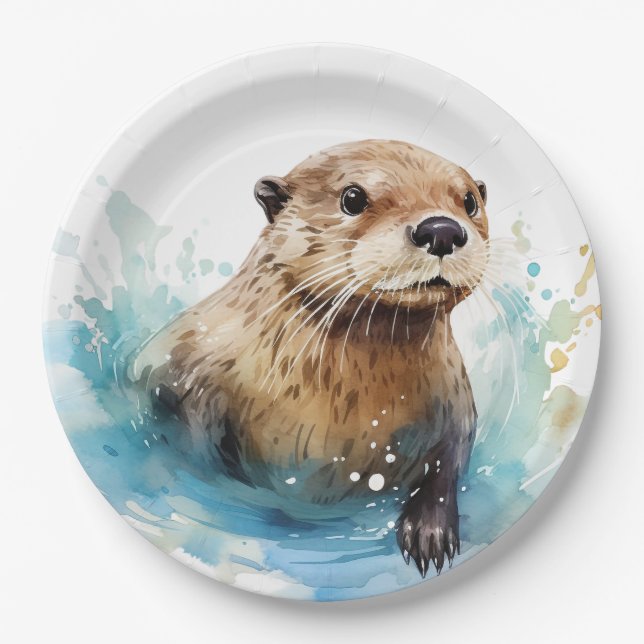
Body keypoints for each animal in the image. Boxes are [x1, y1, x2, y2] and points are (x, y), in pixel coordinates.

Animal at [133, 140, 489, 577]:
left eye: (469, 201)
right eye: (352, 198)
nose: (441, 229)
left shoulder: (455, 403)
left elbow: (448, 462)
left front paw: (430, 532)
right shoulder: (184, 379)